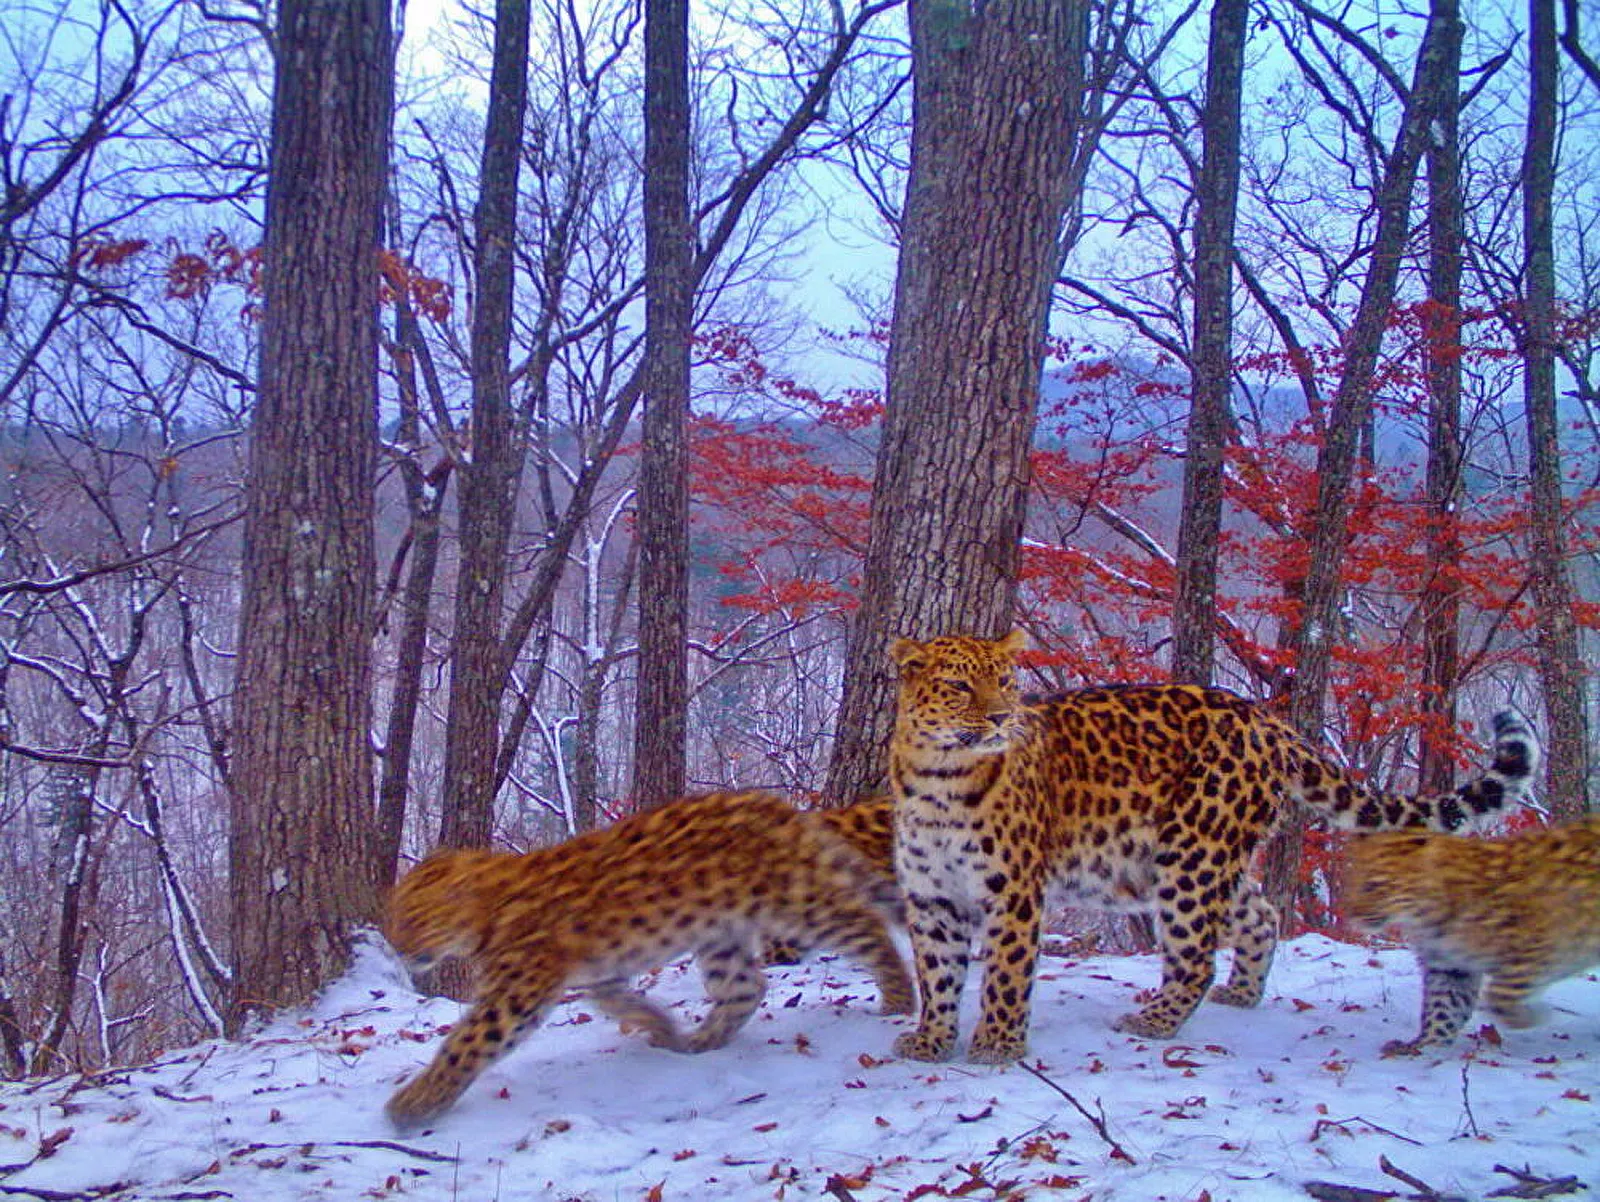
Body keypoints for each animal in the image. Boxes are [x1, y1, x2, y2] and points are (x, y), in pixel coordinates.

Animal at [384, 790, 915, 1126]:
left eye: (414, 918)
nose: (397, 948)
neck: (489, 903)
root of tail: (780, 806)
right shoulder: (599, 972)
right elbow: (618, 1001)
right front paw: (660, 1026)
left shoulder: (515, 995)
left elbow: (465, 1044)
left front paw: (413, 1104)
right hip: (720, 932)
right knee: (745, 988)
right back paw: (700, 1040)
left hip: (798, 903)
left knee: (866, 924)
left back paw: (899, 997)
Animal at [889, 630, 1536, 1062]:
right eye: (959, 686)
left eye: (1005, 681)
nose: (1001, 717)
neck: (939, 779)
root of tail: (1266, 720)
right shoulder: (931, 895)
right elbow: (937, 972)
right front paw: (932, 1039)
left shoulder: (1015, 889)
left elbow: (1005, 969)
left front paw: (997, 1044)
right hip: (1196, 855)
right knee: (1260, 913)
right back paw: (1242, 993)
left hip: (1193, 852)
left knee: (1196, 954)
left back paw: (1154, 1021)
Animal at [1344, 813, 1593, 1056]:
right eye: (1351, 879)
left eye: (1372, 885)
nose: (1349, 912)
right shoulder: (1451, 967)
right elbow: (1443, 1008)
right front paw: (1425, 1047)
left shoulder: (1538, 943)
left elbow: (1500, 995)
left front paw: (1533, 1016)